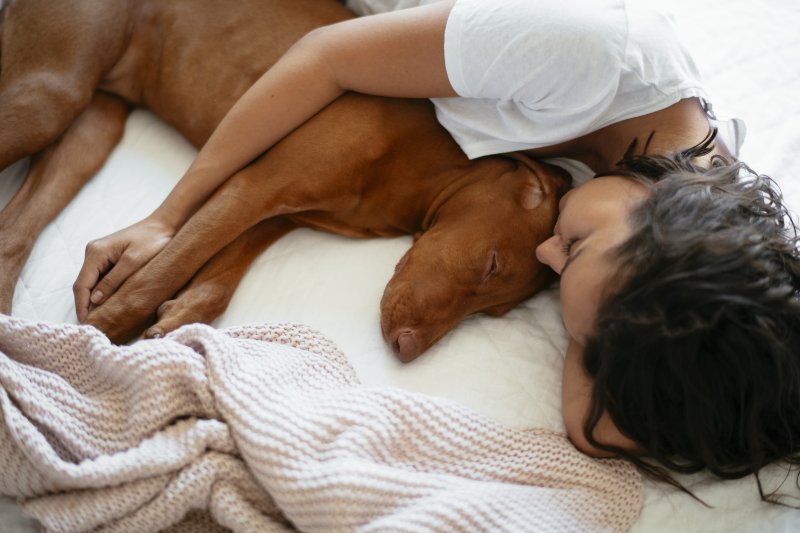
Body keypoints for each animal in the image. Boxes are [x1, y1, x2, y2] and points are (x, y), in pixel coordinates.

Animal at [1, 0, 568, 362]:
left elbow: (214, 281)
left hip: (92, 126)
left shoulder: (275, 212)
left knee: (14, 232)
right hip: (48, 96)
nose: (408, 350)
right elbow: (155, 275)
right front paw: (84, 348)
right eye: (491, 264)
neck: (425, 167)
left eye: (495, 312)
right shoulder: (253, 187)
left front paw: (180, 317)